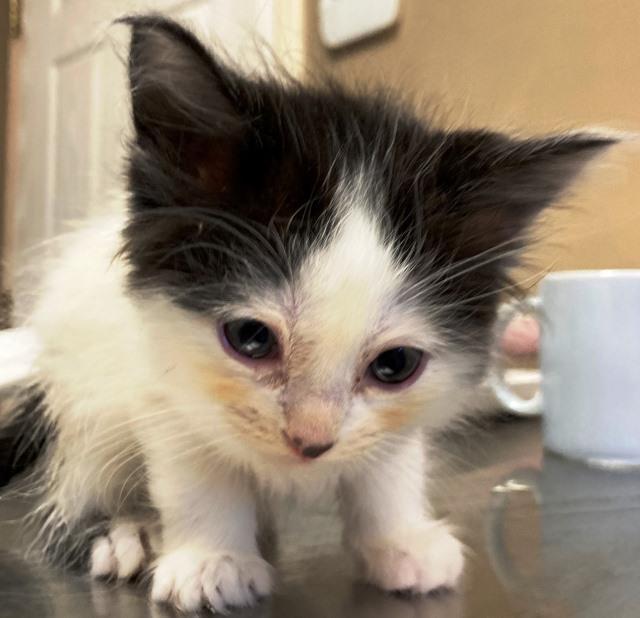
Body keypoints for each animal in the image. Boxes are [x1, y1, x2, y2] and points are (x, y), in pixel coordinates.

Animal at [2, 13, 616, 612]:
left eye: (395, 365)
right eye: (250, 337)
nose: (312, 443)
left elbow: (388, 463)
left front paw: (400, 541)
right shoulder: (157, 374)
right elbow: (197, 467)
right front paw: (212, 560)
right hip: (82, 388)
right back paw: (122, 532)